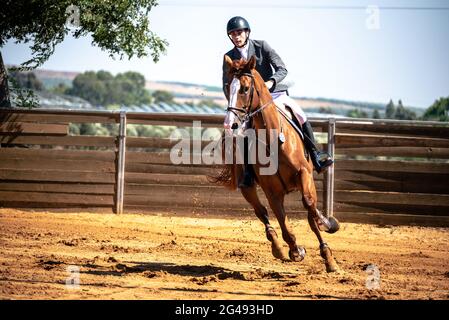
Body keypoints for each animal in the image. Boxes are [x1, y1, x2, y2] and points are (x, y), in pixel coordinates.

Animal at [214, 55, 340, 272]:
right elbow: (283, 224)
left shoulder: (304, 175)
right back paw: (278, 248)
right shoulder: (272, 191)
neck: (273, 139)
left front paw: (328, 253)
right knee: (261, 212)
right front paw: (296, 250)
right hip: (247, 187)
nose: (230, 124)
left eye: (245, 89)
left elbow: (310, 209)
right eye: (227, 87)